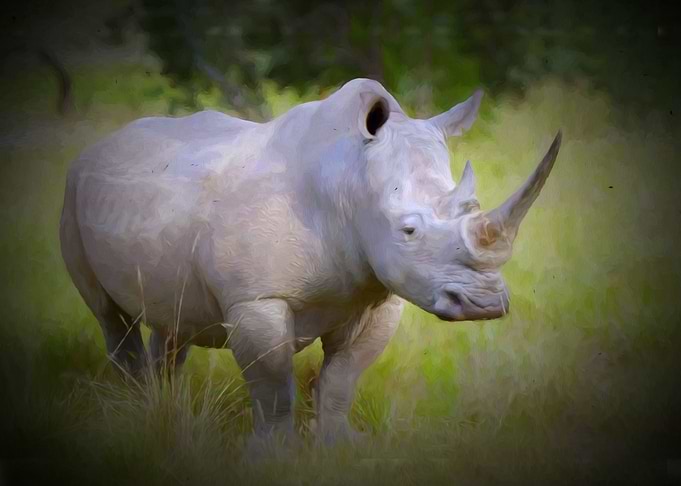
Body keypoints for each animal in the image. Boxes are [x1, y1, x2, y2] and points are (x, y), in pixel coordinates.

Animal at [59, 78, 561, 445]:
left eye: (472, 207)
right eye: (409, 230)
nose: (485, 305)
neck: (348, 182)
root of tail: (101, 144)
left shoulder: (380, 296)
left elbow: (342, 379)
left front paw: (341, 446)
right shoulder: (256, 300)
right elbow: (273, 387)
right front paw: (272, 455)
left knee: (171, 320)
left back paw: (162, 407)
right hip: (73, 191)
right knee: (109, 314)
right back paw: (136, 411)